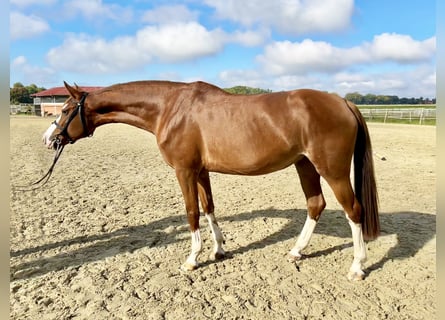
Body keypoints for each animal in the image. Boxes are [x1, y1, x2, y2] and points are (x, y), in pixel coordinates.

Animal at [42, 80, 378, 280]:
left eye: (66, 109)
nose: (48, 138)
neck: (170, 108)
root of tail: (342, 102)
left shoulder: (184, 171)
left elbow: (191, 212)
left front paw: (192, 259)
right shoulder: (201, 171)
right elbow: (209, 209)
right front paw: (218, 250)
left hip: (332, 170)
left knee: (353, 211)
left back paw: (357, 267)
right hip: (305, 165)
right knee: (315, 205)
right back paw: (296, 251)